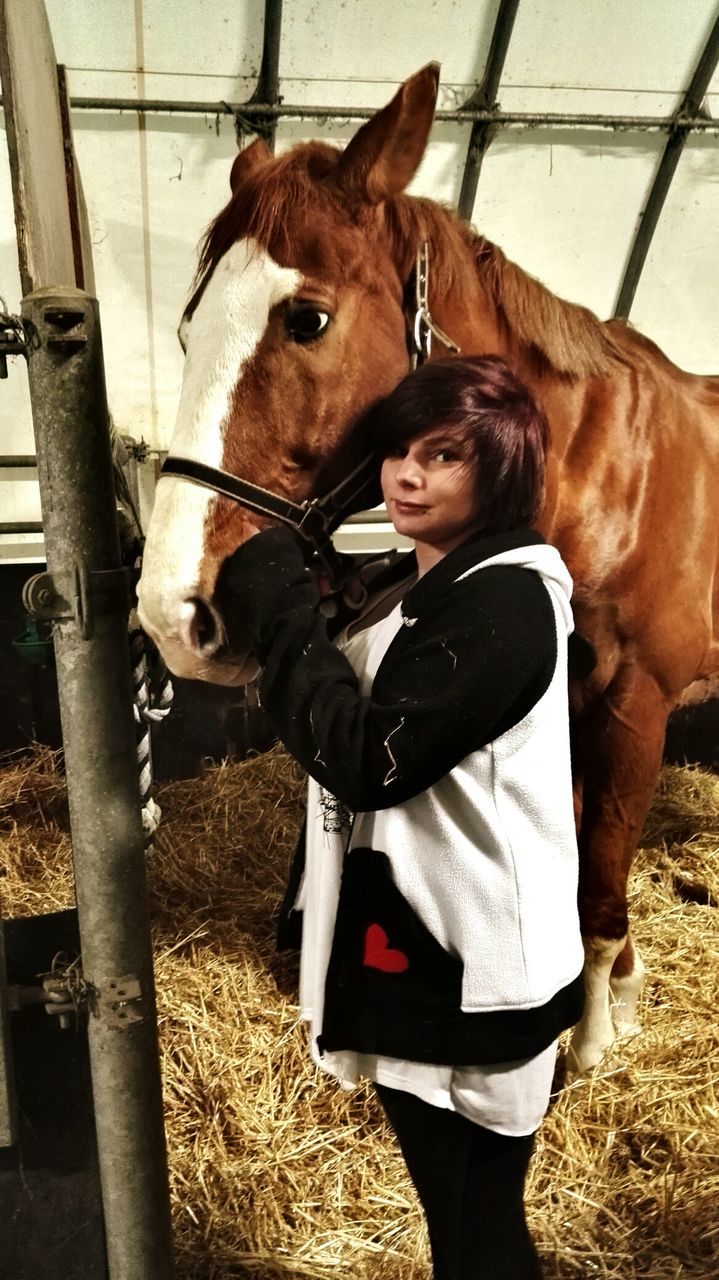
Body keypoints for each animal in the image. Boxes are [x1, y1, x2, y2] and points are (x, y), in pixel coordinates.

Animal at [138, 64, 716, 1075]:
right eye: (186, 331)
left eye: (307, 318)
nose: (174, 614)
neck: (603, 479)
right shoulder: (563, 704)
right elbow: (572, 852)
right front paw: (616, 990)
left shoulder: (634, 705)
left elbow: (601, 877)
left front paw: (592, 1038)